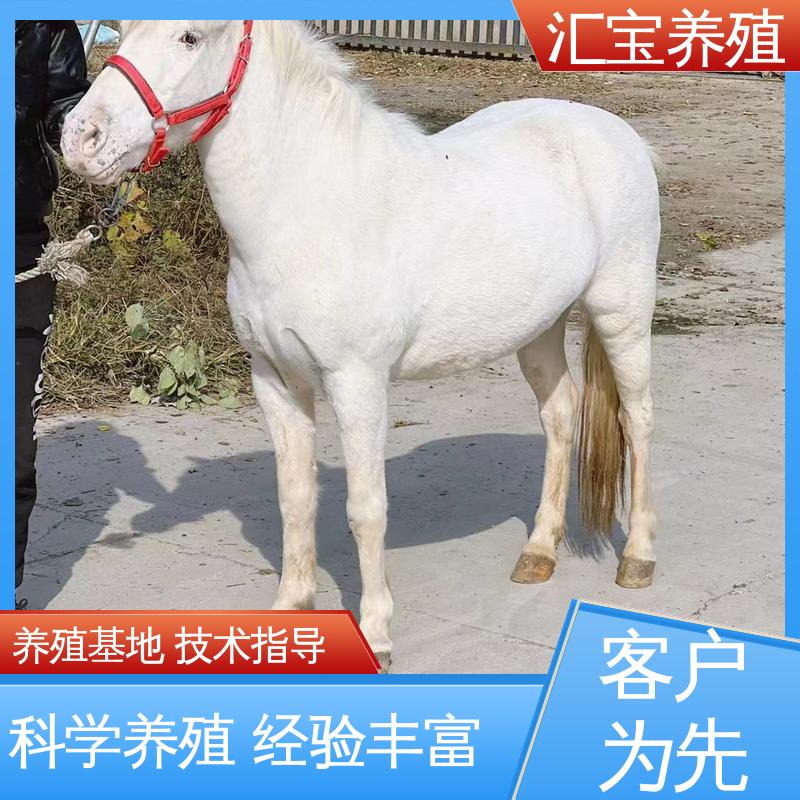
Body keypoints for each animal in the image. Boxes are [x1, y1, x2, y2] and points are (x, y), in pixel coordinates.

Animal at [62, 20, 660, 669]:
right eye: (122, 29)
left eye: (190, 38)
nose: (81, 137)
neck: (312, 212)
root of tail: (615, 131)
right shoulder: (274, 380)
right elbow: (296, 497)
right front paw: (290, 611)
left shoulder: (357, 383)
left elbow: (365, 511)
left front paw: (376, 635)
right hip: (539, 326)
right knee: (560, 415)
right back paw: (539, 552)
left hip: (622, 313)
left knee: (637, 419)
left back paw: (638, 558)